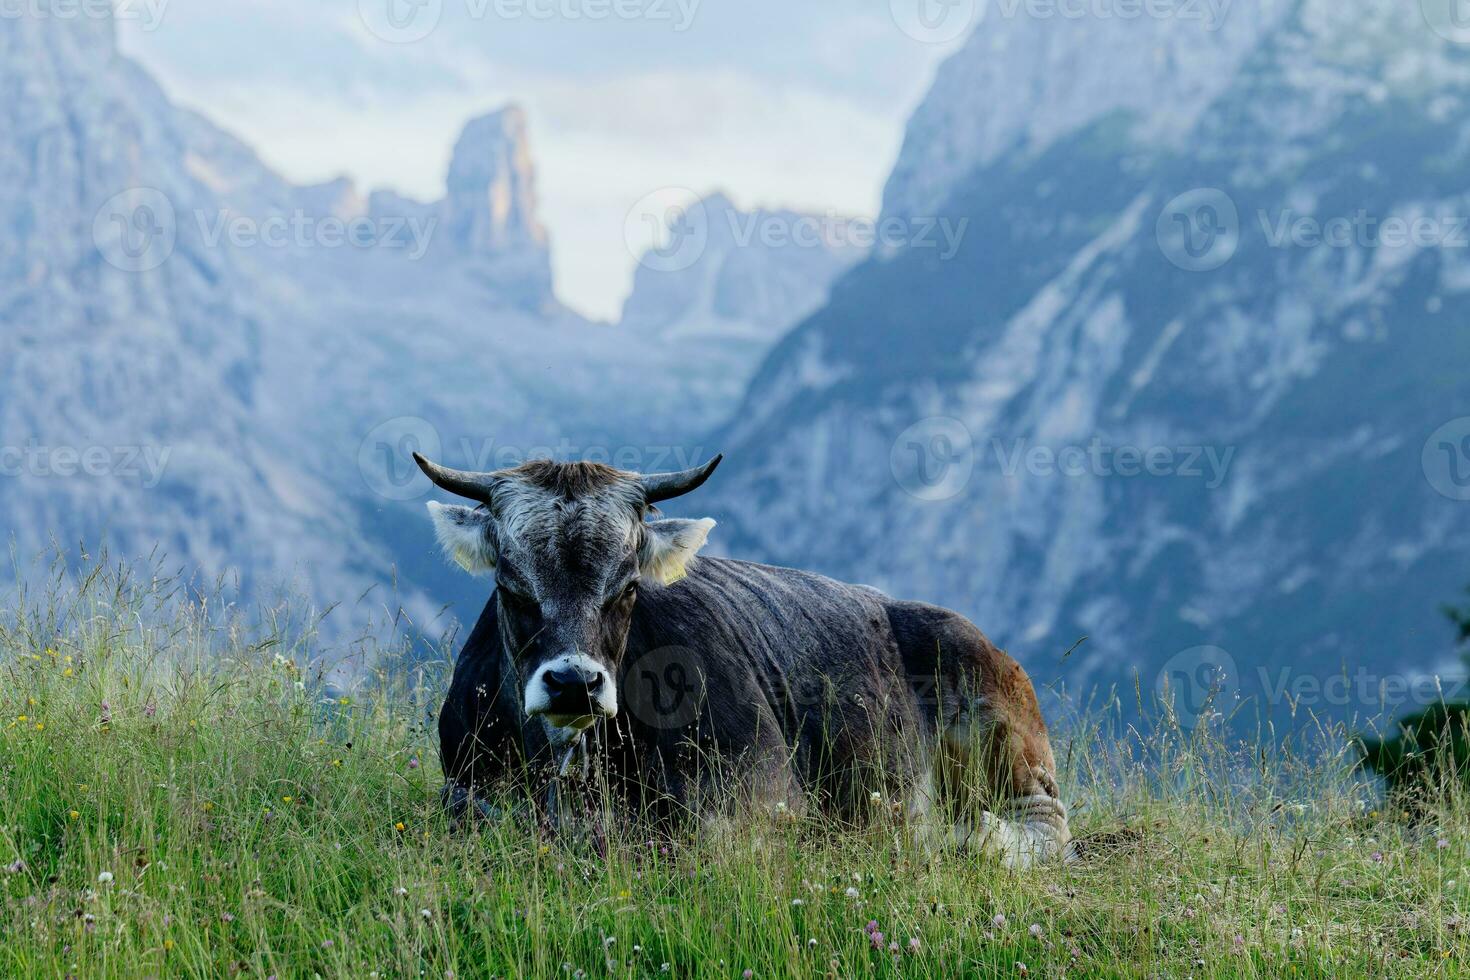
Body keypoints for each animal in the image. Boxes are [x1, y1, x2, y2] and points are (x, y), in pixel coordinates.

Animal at [414, 452, 1070, 863]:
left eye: (626, 587)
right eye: (511, 586)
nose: (574, 682)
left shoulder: (764, 791)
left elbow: (707, 835)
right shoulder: (462, 785)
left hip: (1001, 730)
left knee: (1042, 823)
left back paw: (969, 837)